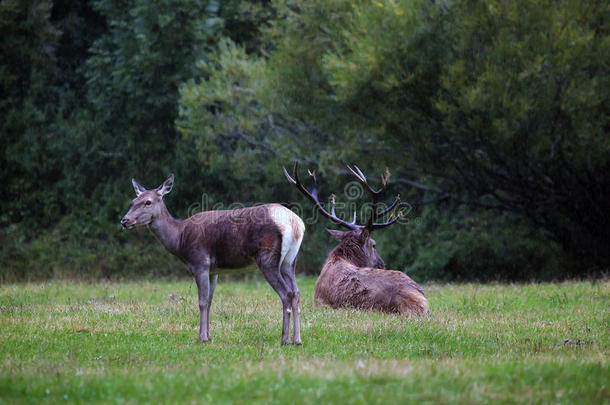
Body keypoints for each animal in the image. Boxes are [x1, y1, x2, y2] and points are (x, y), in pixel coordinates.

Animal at [119, 174, 304, 344]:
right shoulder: (214, 270)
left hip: (267, 259)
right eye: (133, 200)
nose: (124, 220)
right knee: (295, 292)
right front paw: (208, 336)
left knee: (286, 293)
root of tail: (295, 224)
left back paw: (285, 339)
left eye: (148, 202)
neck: (179, 239)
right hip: (290, 261)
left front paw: (201, 338)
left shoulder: (200, 262)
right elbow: (209, 301)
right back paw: (297, 340)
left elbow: (201, 301)